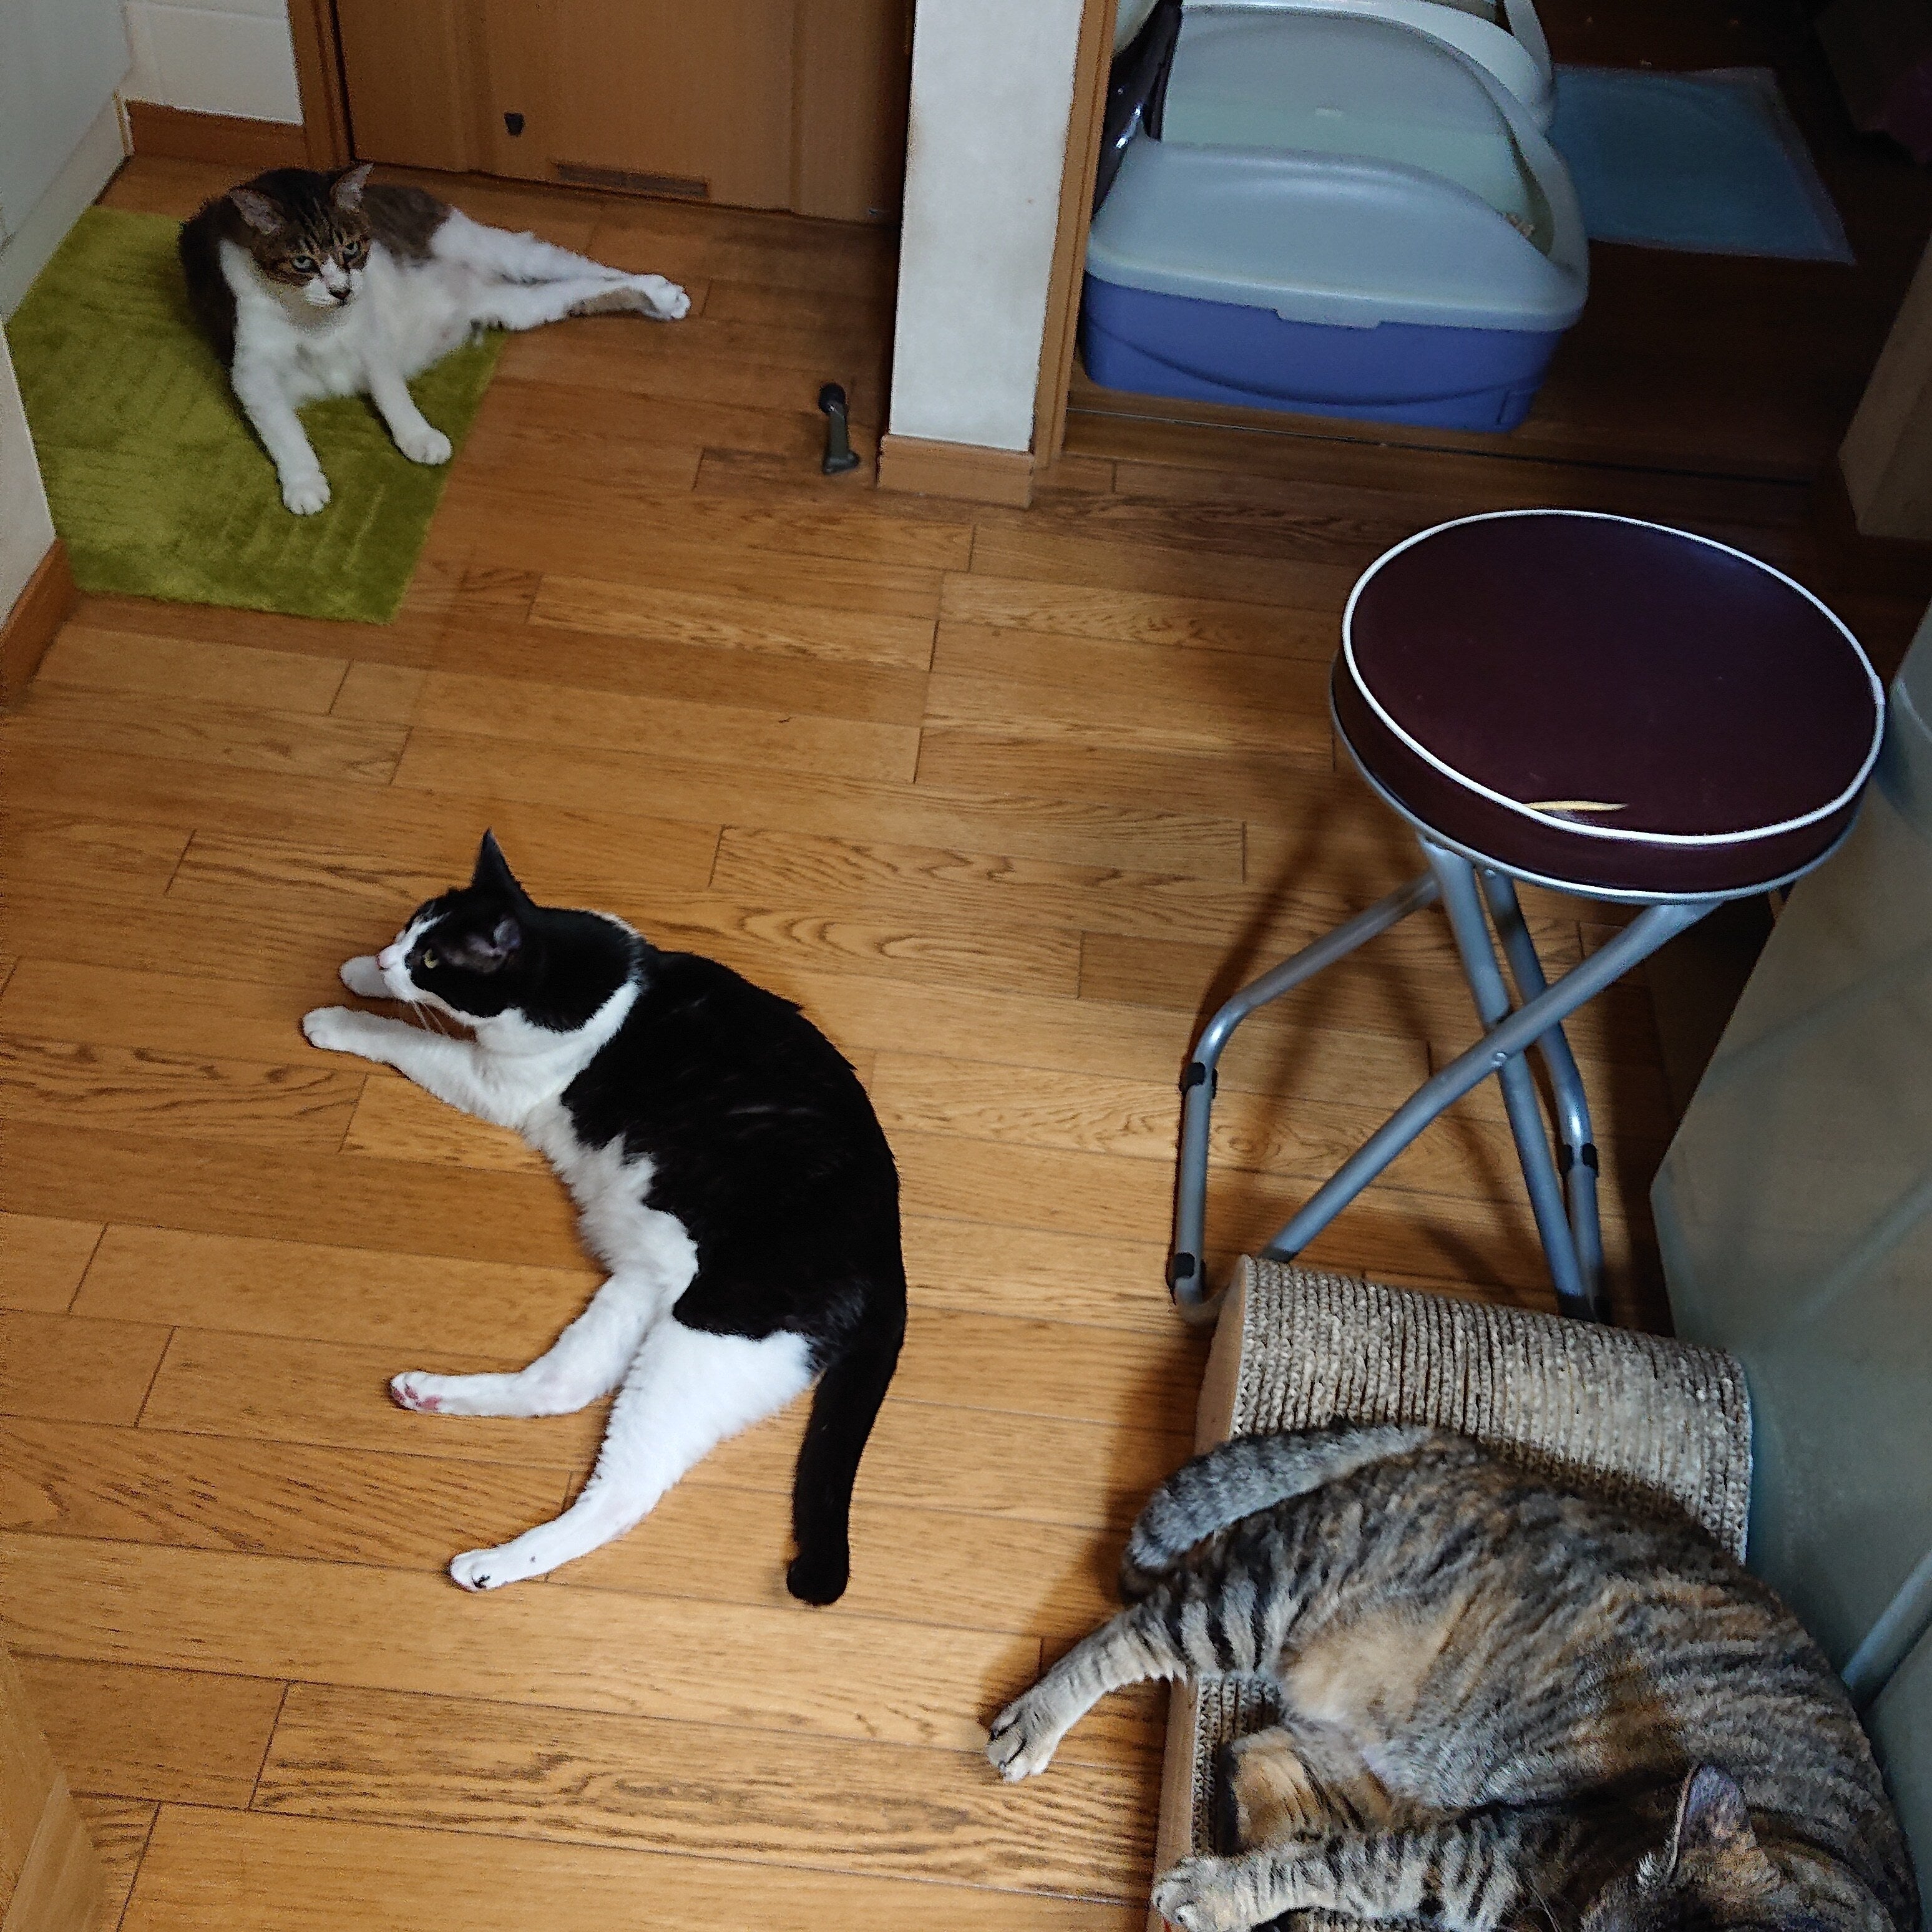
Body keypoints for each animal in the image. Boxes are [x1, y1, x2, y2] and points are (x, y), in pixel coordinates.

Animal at [179, 164, 688, 515]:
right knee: (581, 290)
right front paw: (304, 483)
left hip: (489, 245)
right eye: (303, 262)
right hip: (514, 307)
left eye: (351, 249)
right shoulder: (252, 370)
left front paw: (419, 438)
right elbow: (283, 429)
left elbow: (392, 393)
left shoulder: (370, 336)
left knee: (585, 266)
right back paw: (655, 299)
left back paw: (665, 291)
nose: (342, 290)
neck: (314, 319)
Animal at [299, 831, 905, 1604]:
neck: (583, 970)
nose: (385, 957)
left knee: (624, 1490)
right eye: (411, 929)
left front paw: (342, 1014)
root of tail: (890, 1263)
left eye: (434, 958)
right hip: (643, 1290)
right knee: (561, 1388)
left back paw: (493, 1562)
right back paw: (430, 1395)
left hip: (707, 1334)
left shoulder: (494, 1083)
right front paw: (360, 971)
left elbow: (420, 1040)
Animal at [989, 1426, 1917, 1932]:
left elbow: (1342, 1865)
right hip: (1265, 1598)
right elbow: (1356, 1871)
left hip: (1363, 1751)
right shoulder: (1507, 1849)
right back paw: (1033, 1722)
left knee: (1259, 1758)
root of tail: (1465, 1450)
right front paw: (1220, 1894)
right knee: (1132, 1637)